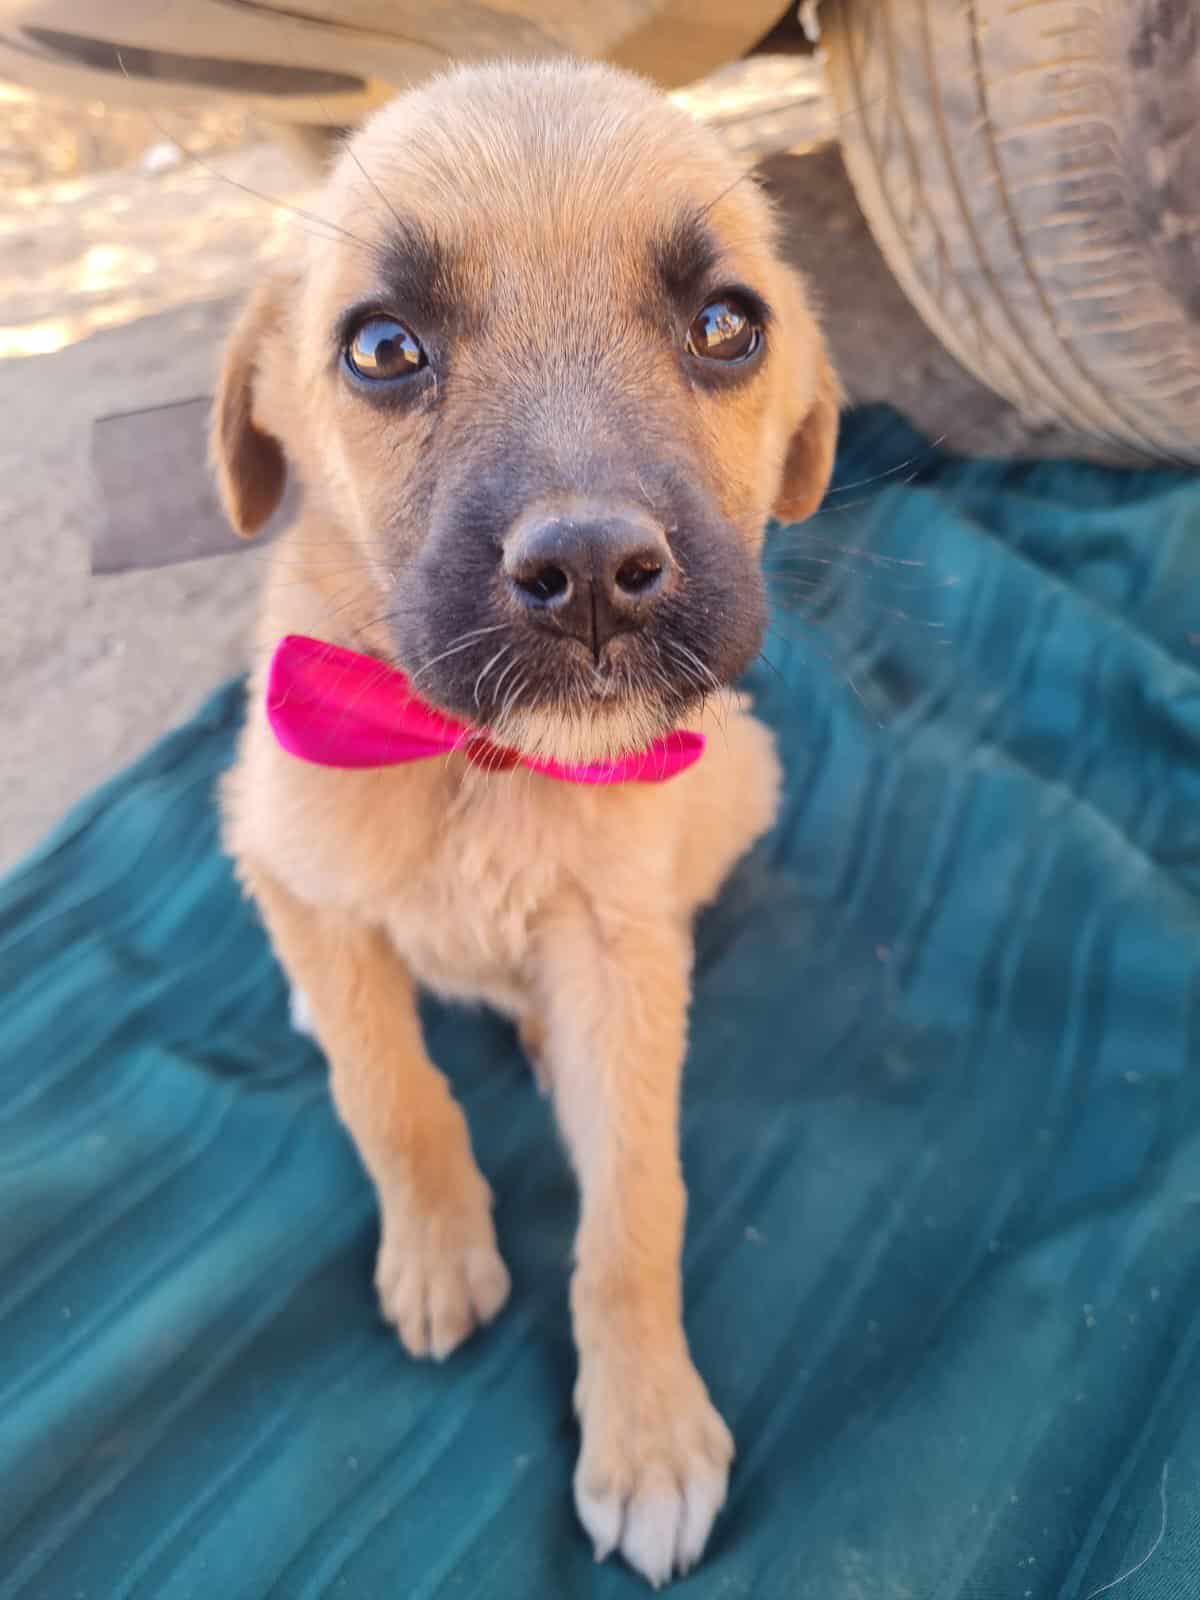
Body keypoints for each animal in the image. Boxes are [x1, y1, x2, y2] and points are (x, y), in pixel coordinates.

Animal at [214, 59, 838, 1587]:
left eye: (727, 325)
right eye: (382, 348)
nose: (595, 571)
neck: (481, 767)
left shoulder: (619, 946)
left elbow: (634, 1209)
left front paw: (648, 1431)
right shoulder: (281, 855)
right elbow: (389, 1092)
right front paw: (438, 1249)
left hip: (743, 772)